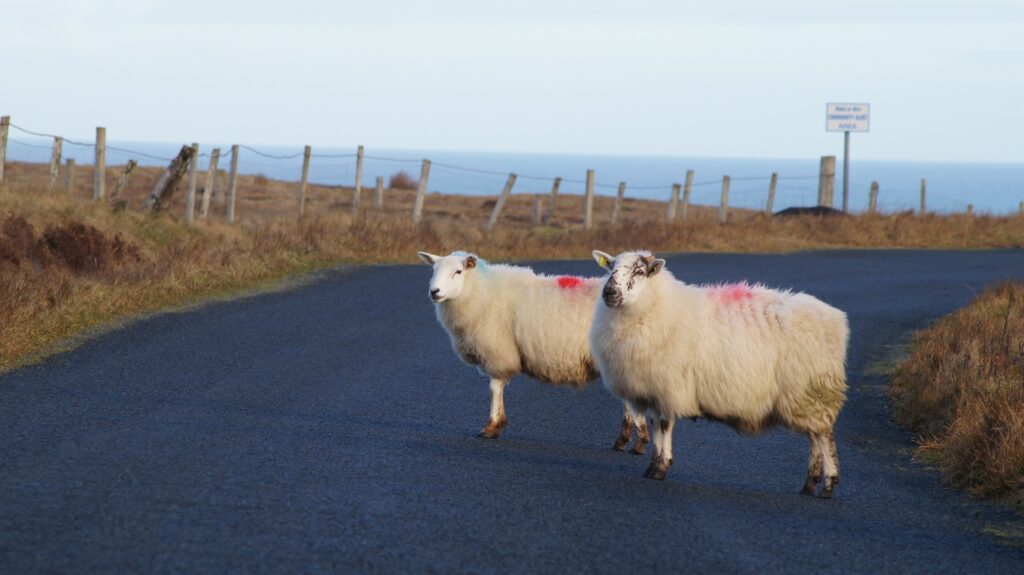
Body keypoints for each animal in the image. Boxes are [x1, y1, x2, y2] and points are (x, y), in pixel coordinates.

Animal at [415, 248, 647, 450]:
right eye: (433, 270)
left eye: (458, 271)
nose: (434, 292)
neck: (481, 291)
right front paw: (498, 423)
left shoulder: (498, 351)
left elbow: (494, 388)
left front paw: (491, 427)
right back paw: (626, 440)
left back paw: (632, 440)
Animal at [585, 250, 847, 497]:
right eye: (610, 267)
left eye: (639, 271)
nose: (609, 292)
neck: (655, 305)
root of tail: (836, 319)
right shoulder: (654, 390)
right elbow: (655, 425)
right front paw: (652, 466)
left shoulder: (670, 386)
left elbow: (665, 425)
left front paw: (661, 467)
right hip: (806, 400)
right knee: (814, 437)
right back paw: (810, 484)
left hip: (813, 393)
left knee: (824, 437)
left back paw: (828, 484)